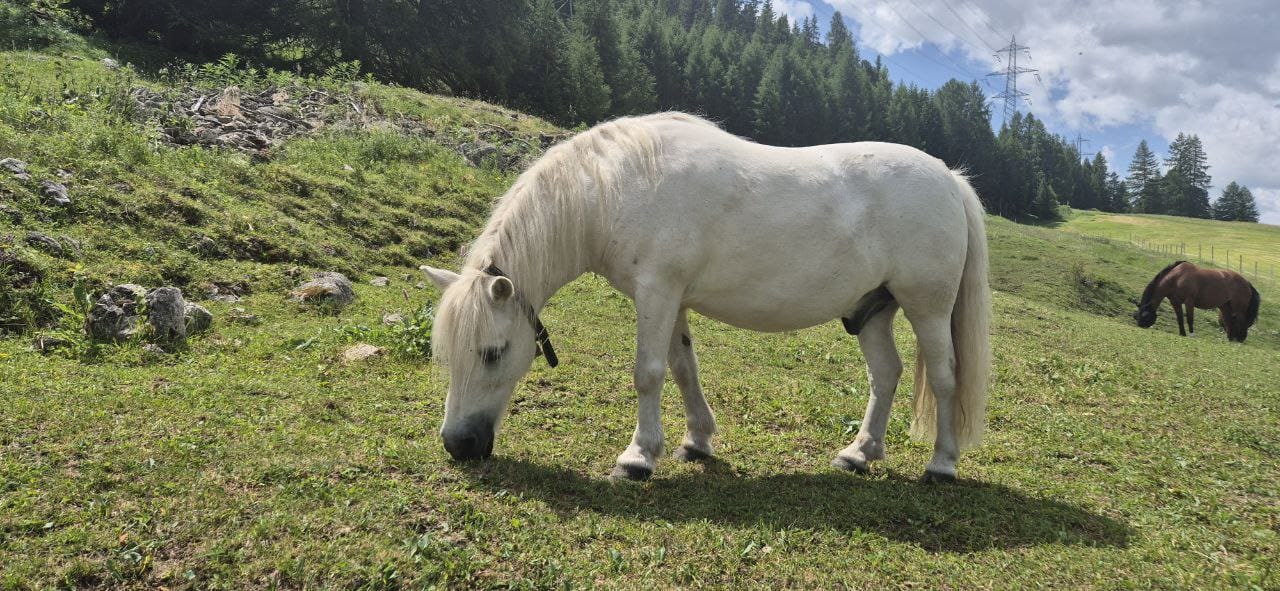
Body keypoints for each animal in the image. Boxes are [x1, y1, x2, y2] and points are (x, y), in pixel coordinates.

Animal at [421, 112, 991, 483]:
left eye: (492, 353)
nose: (457, 445)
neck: (620, 185)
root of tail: (949, 178)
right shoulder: (671, 300)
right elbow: (681, 368)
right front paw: (695, 441)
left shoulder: (656, 292)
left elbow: (648, 373)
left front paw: (637, 458)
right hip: (872, 310)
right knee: (886, 374)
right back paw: (859, 453)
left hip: (927, 307)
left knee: (945, 378)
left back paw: (941, 465)